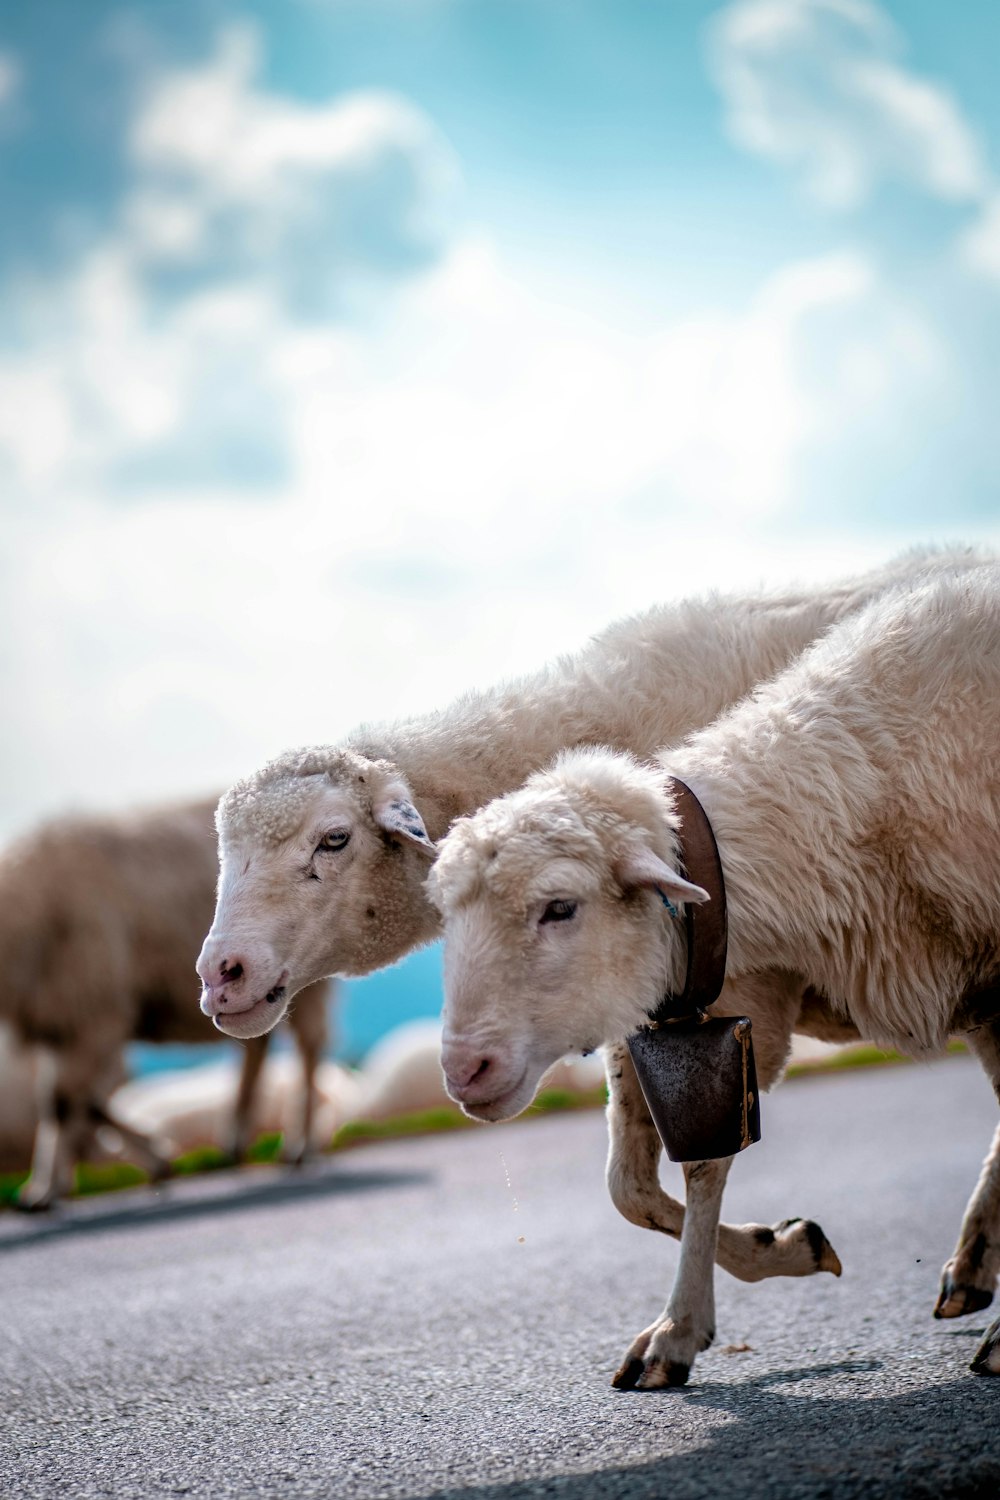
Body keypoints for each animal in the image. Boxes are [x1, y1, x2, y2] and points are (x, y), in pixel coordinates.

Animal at [0, 798, 332, 1206]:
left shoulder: (94, 1013)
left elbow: (65, 1103)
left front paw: (48, 1192)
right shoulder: (61, 1020)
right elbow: (62, 1103)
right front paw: (47, 1187)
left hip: (303, 972)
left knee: (310, 1049)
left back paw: (300, 1147)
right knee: (258, 1049)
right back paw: (235, 1143)